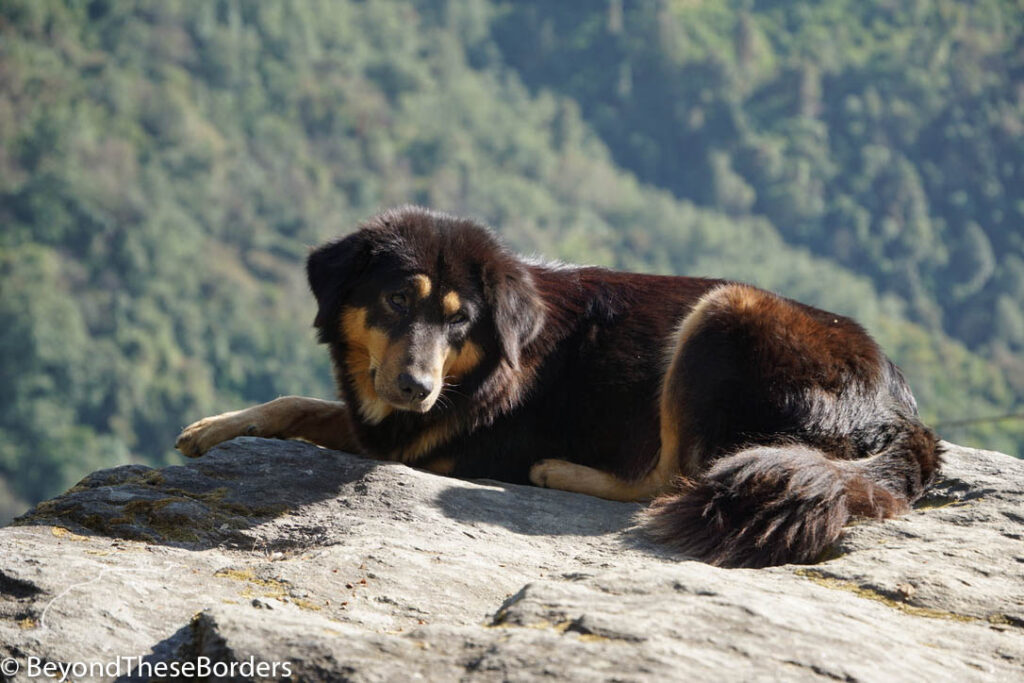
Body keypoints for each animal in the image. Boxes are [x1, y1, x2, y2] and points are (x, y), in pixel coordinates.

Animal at [174, 205, 937, 569]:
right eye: (395, 300)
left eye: (459, 321)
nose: (417, 386)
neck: (482, 366)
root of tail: (902, 414)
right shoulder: (388, 419)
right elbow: (300, 402)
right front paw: (215, 426)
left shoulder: (422, 448)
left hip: (725, 311)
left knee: (671, 477)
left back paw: (561, 471)